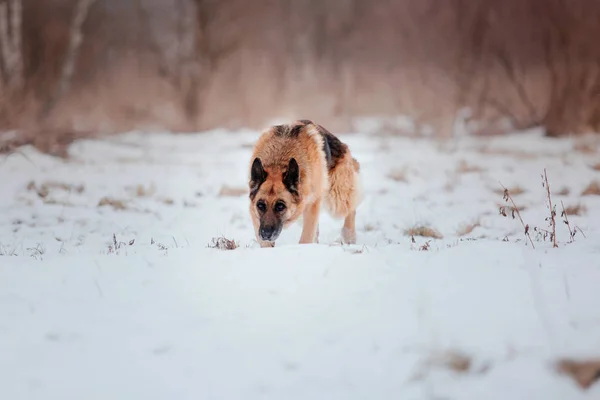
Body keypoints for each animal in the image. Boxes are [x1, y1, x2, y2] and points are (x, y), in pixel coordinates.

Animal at [247, 119, 360, 247]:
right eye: (260, 206)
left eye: (280, 206)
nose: (265, 234)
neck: (278, 163)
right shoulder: (254, 211)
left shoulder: (313, 204)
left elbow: (306, 237)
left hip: (336, 198)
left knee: (351, 207)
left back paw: (349, 236)